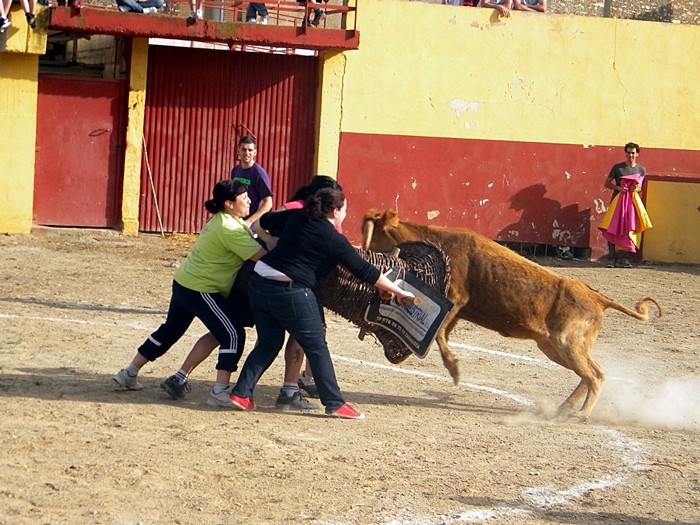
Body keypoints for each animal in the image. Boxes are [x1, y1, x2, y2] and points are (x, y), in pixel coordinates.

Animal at [360, 209, 660, 422]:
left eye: (374, 236)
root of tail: (596, 296)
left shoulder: (456, 300)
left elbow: (440, 334)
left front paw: (455, 370)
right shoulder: (458, 309)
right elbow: (443, 334)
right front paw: (454, 369)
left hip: (566, 343)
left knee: (595, 375)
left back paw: (581, 414)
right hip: (554, 348)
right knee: (589, 375)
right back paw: (564, 409)